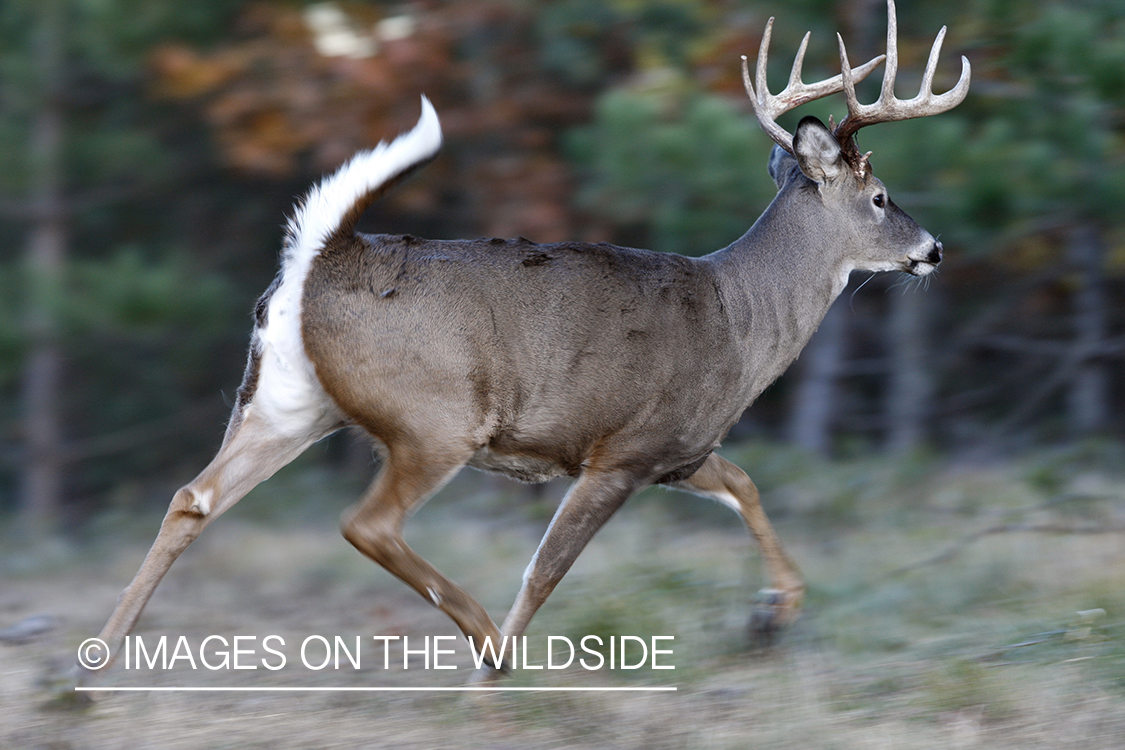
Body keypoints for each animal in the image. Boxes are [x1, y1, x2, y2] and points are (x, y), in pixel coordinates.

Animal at [74, 0, 967, 688]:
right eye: (880, 196)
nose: (933, 250)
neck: (738, 319)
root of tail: (323, 256)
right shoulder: (621, 450)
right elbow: (547, 566)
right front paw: (494, 669)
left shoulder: (678, 449)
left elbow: (744, 483)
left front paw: (772, 615)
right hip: (433, 417)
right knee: (366, 523)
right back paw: (488, 647)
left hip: (288, 402)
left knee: (193, 497)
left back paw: (93, 670)